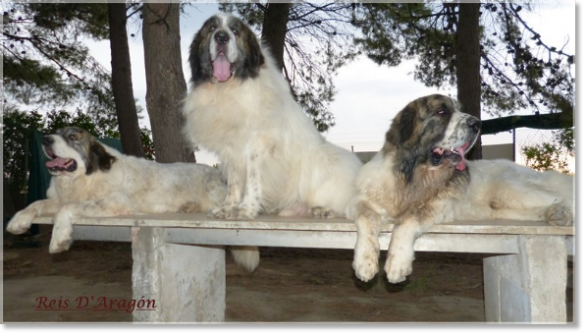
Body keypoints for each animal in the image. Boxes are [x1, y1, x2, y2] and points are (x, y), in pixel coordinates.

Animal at [6, 127, 258, 272]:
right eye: (55, 134)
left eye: (71, 138)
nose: (45, 140)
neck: (85, 176)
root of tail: (217, 172)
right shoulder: (58, 198)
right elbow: (37, 203)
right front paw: (18, 221)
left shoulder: (116, 201)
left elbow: (67, 208)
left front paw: (59, 238)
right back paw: (187, 206)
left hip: (214, 190)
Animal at [182, 13, 360, 220]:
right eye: (211, 28)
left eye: (235, 31)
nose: (221, 37)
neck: (228, 87)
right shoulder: (230, 148)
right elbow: (234, 183)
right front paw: (228, 208)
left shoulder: (258, 144)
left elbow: (252, 180)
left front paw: (246, 209)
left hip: (327, 158)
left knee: (346, 205)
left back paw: (323, 209)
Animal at [346, 94, 572, 284]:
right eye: (441, 112)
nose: (477, 124)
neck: (414, 175)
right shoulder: (362, 200)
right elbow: (366, 220)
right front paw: (365, 263)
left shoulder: (438, 205)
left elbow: (407, 221)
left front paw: (397, 265)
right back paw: (555, 215)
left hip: (512, 188)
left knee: (562, 198)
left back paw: (561, 213)